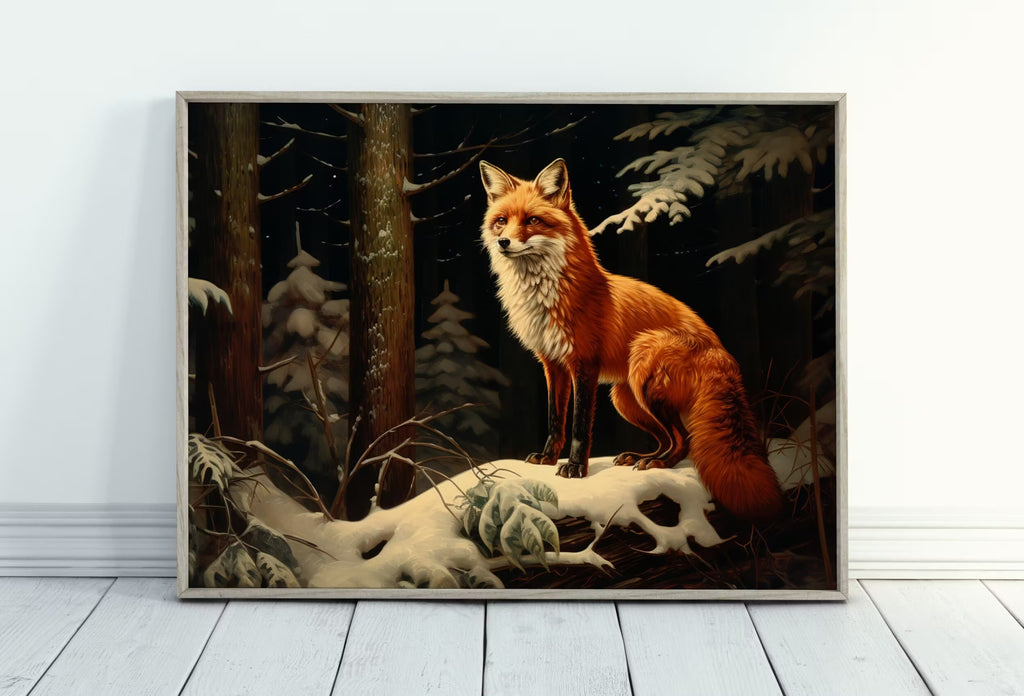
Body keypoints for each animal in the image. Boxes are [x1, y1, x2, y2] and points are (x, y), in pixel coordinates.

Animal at [478, 158, 784, 522]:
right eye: (501, 221)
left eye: (532, 220)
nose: (503, 242)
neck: (547, 296)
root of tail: (721, 353)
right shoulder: (552, 364)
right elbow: (555, 420)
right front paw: (548, 458)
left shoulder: (584, 364)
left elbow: (579, 426)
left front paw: (575, 469)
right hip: (626, 399)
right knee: (671, 438)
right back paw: (639, 458)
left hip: (643, 372)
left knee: (684, 442)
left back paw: (657, 464)